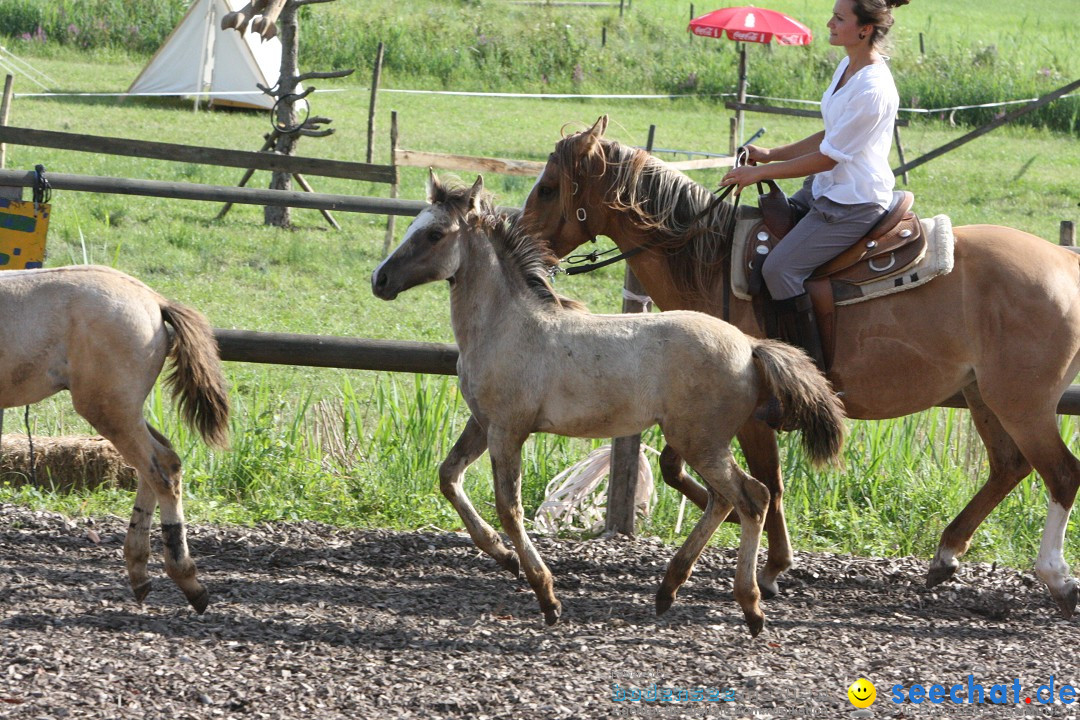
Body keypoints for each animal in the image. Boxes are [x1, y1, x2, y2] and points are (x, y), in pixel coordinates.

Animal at [1, 264, 230, 613]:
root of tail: (153, 300)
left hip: (109, 410)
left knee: (161, 469)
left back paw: (186, 579)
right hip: (124, 411)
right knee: (162, 461)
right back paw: (140, 572)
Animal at [375, 174, 846, 634]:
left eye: (435, 234)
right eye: (416, 224)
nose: (380, 280)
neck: (507, 326)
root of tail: (750, 346)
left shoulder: (508, 429)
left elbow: (510, 509)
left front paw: (547, 596)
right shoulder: (482, 422)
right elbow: (449, 477)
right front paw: (505, 558)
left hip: (700, 440)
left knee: (752, 497)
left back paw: (749, 605)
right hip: (703, 442)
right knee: (726, 500)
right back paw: (668, 589)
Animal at [516, 115, 1080, 617]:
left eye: (548, 188)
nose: (520, 243)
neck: (710, 260)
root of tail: (1065, 261)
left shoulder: (747, 413)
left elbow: (767, 480)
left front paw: (770, 564)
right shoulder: (698, 409)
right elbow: (677, 467)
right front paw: (729, 526)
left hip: (1021, 401)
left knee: (1060, 474)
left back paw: (1055, 577)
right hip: (985, 396)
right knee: (1009, 465)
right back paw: (946, 556)